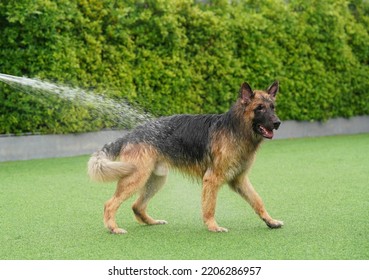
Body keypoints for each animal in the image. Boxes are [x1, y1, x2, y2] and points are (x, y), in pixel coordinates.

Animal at [87, 81, 284, 234]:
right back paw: (113, 228)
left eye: (272, 107)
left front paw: (270, 221)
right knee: (110, 204)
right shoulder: (212, 179)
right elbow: (210, 207)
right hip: (136, 178)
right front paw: (213, 227)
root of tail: (131, 134)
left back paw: (152, 222)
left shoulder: (240, 180)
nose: (277, 123)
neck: (236, 129)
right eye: (259, 108)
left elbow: (257, 201)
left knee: (137, 206)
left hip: (155, 180)